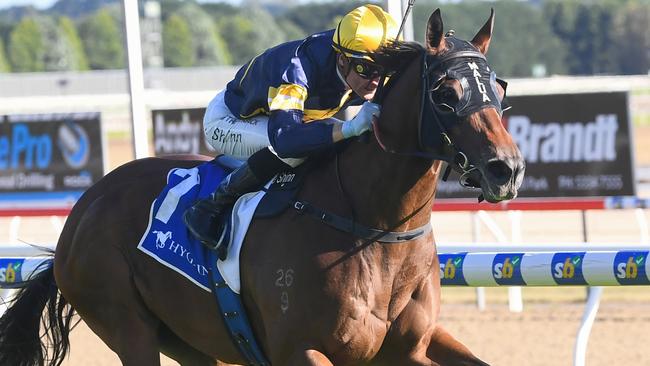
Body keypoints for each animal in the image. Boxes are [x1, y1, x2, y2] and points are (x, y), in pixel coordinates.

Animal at [0, 8, 520, 366]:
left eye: (498, 89)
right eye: (446, 93)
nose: (507, 169)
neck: (376, 227)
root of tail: (83, 209)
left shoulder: (414, 346)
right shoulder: (302, 349)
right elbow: (286, 134)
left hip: (189, 339)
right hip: (127, 325)